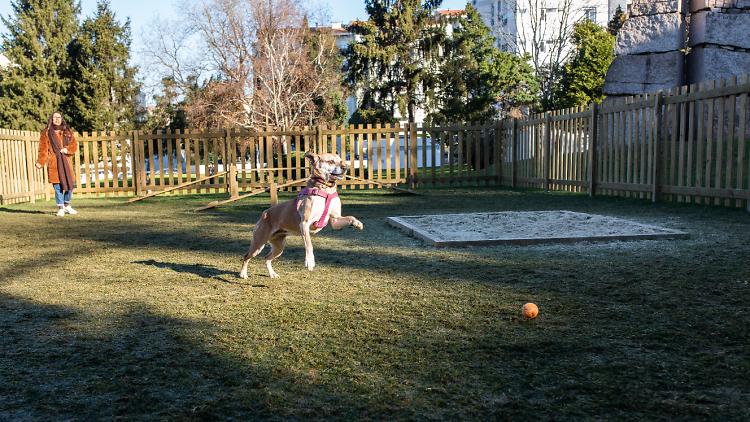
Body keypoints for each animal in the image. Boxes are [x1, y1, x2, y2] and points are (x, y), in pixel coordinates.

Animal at [239, 150, 366, 278]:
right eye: (330, 161)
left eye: (341, 161)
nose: (344, 167)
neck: (325, 189)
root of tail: (265, 213)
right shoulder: (305, 223)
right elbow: (309, 244)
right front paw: (309, 261)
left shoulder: (335, 220)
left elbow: (350, 217)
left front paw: (357, 223)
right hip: (258, 243)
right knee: (246, 256)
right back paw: (243, 274)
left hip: (278, 247)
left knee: (266, 258)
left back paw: (272, 274)